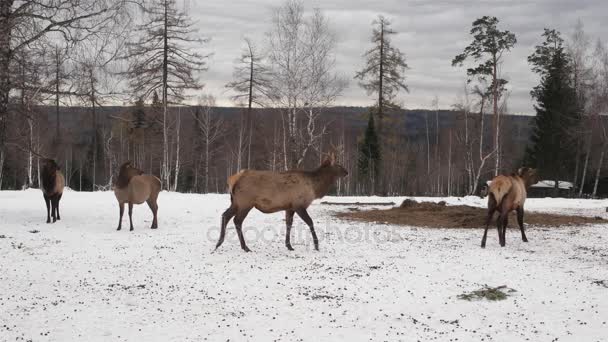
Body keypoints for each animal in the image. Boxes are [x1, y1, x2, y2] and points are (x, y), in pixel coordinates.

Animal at [215, 154, 350, 252]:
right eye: (338, 164)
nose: (347, 172)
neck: (315, 188)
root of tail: (233, 179)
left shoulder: (289, 207)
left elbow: (288, 224)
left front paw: (289, 245)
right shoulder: (298, 204)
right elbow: (310, 222)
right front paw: (316, 245)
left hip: (236, 202)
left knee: (225, 215)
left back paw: (219, 243)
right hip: (245, 202)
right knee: (237, 220)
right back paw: (245, 247)